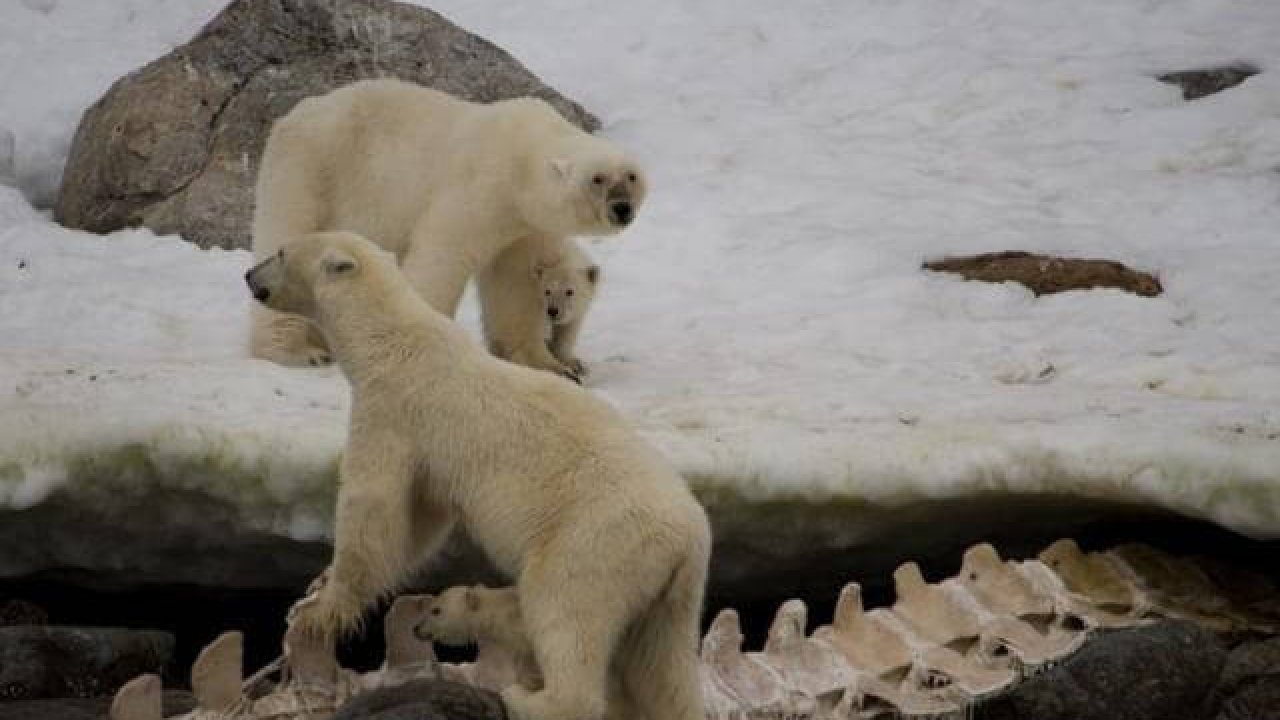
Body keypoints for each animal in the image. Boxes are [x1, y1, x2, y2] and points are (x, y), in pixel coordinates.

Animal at [481, 235, 599, 381]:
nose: (553, 311)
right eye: (547, 291)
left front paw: (574, 363)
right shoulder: (517, 289)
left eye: (569, 291)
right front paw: (561, 371)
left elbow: (567, 328)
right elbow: (525, 334)